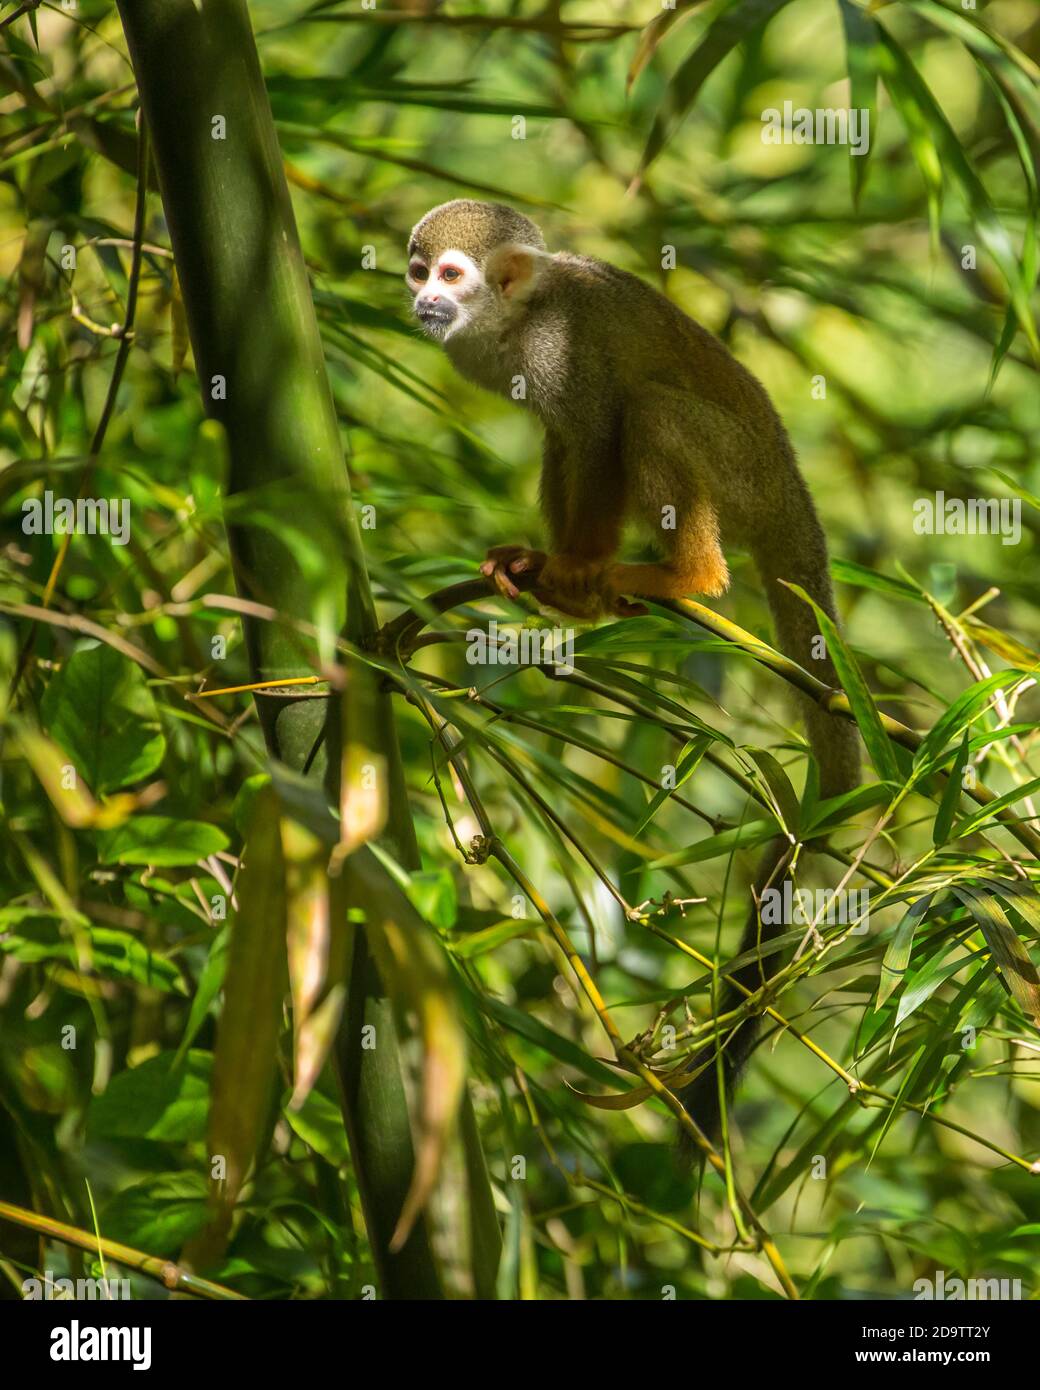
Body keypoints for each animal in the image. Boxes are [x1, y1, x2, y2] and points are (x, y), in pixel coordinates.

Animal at [405, 199, 860, 1145]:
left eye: (453, 276)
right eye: (417, 271)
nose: (426, 300)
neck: (510, 324)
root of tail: (791, 491)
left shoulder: (558, 355)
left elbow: (598, 428)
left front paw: (577, 572)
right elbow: (568, 443)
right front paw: (549, 574)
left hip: (742, 475)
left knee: (647, 410)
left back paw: (685, 579)